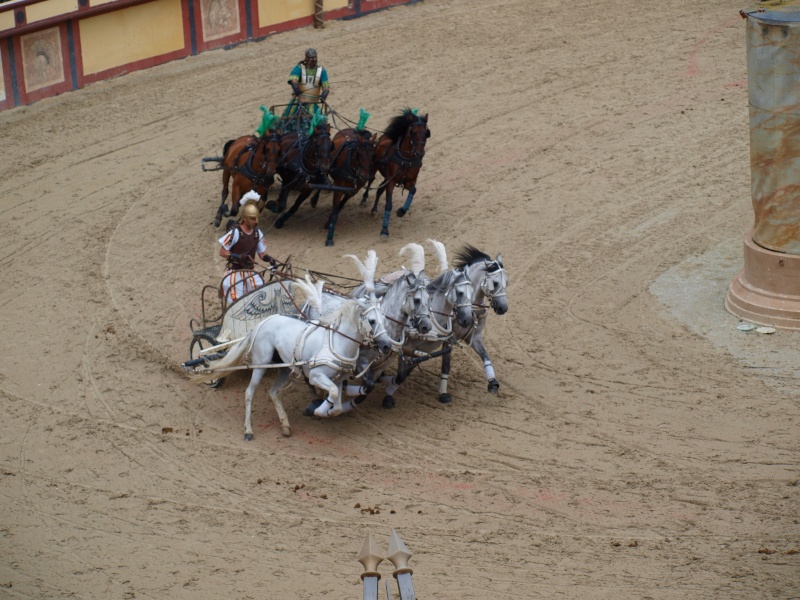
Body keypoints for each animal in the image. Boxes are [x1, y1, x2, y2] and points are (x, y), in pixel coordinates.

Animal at [194, 270, 394, 438]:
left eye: (384, 319)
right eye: (372, 321)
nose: (387, 345)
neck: (338, 343)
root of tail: (263, 322)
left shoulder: (338, 379)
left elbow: (336, 400)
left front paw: (329, 410)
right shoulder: (315, 375)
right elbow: (332, 393)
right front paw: (319, 410)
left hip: (283, 368)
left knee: (274, 392)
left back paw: (285, 425)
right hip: (261, 363)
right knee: (250, 392)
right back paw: (248, 430)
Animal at [360, 106, 428, 238]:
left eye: (426, 132)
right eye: (413, 131)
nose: (419, 153)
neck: (405, 159)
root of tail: (383, 137)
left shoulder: (409, 181)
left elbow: (413, 191)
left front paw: (401, 211)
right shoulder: (391, 182)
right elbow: (388, 204)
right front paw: (384, 230)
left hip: (386, 177)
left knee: (380, 189)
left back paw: (374, 210)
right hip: (373, 169)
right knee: (371, 180)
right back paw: (364, 199)